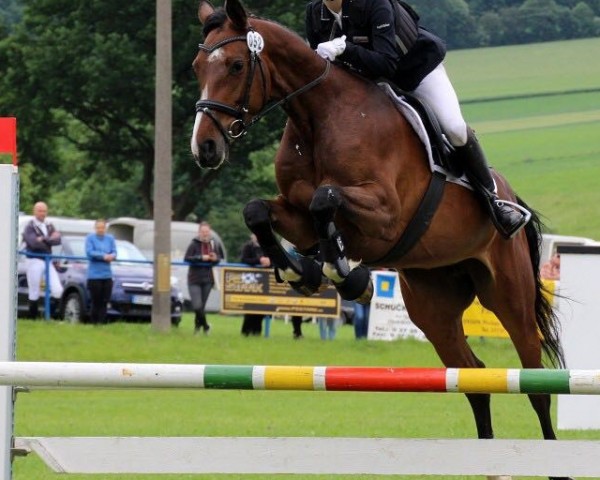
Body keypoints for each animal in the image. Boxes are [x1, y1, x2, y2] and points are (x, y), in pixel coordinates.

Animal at [190, 1, 568, 478]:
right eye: (197, 66)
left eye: (237, 65)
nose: (204, 148)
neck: (318, 117)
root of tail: (511, 194)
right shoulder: (295, 214)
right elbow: (260, 210)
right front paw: (302, 271)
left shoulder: (385, 215)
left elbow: (325, 199)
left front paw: (346, 275)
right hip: (433, 305)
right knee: (474, 378)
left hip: (509, 296)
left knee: (535, 383)